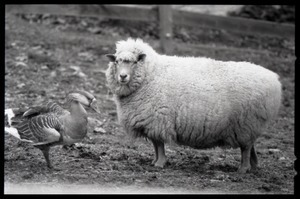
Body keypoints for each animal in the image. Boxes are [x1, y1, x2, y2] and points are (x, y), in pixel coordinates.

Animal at [105, 37, 282, 173]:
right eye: (117, 61)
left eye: (134, 62)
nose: (122, 76)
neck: (150, 74)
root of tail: (274, 80)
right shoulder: (153, 122)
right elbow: (156, 145)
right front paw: (155, 162)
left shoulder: (157, 119)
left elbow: (159, 145)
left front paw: (160, 163)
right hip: (249, 125)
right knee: (250, 146)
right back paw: (253, 166)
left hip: (246, 122)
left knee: (245, 148)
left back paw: (243, 169)